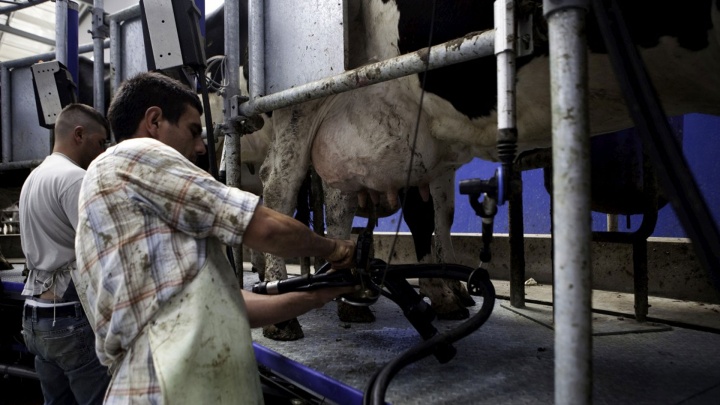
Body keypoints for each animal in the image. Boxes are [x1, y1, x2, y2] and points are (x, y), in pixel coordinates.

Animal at [205, 0, 720, 340]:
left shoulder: (432, 153)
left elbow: (439, 216)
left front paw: (447, 292)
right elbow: (425, 217)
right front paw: (445, 292)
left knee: (335, 203)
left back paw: (347, 293)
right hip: (297, 98)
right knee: (278, 191)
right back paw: (282, 308)